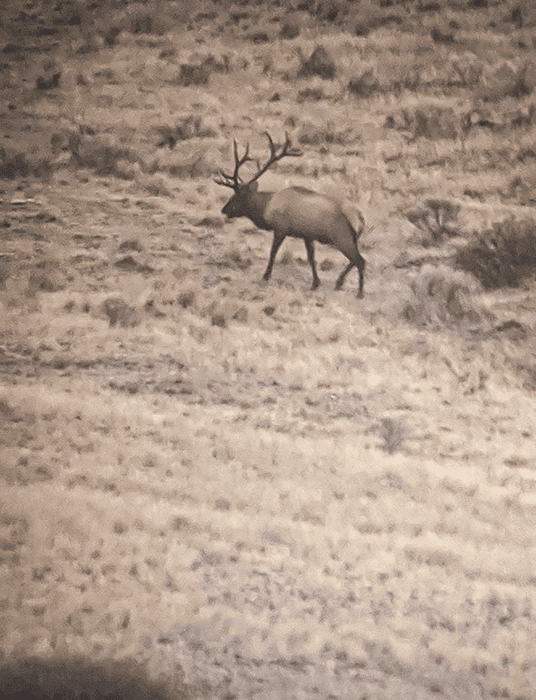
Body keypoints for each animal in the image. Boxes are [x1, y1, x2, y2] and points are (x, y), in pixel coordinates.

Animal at [214, 132, 366, 298]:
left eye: (236, 196)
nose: (224, 210)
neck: (266, 208)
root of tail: (360, 218)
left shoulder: (281, 228)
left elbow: (273, 252)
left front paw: (266, 276)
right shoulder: (307, 235)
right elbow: (311, 258)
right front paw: (315, 283)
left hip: (341, 237)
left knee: (361, 261)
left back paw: (359, 292)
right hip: (351, 238)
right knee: (356, 260)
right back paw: (340, 281)